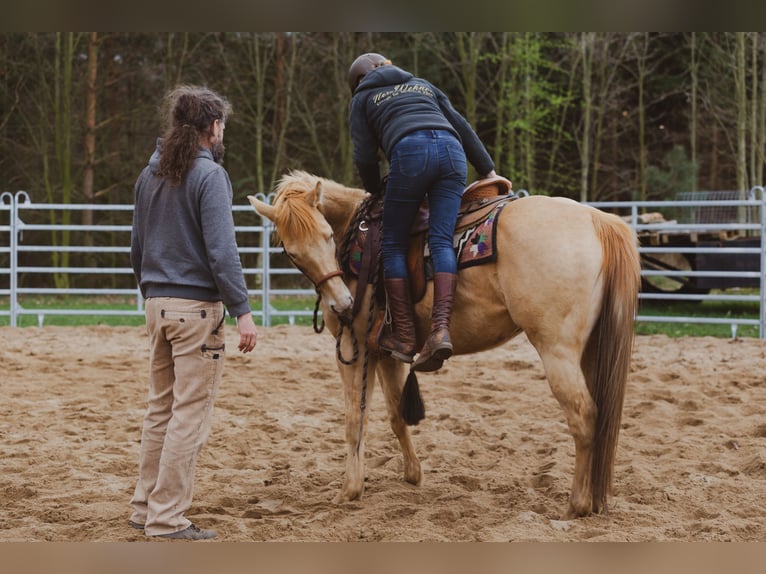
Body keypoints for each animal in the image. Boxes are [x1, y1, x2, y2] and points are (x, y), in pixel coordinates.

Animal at [250, 169, 640, 520]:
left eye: (328, 235)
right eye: (292, 253)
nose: (342, 305)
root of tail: (597, 219)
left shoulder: (354, 347)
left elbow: (353, 419)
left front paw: (349, 490)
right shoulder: (386, 351)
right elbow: (396, 415)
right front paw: (412, 474)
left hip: (557, 351)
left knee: (584, 416)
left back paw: (577, 505)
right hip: (590, 351)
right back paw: (593, 501)